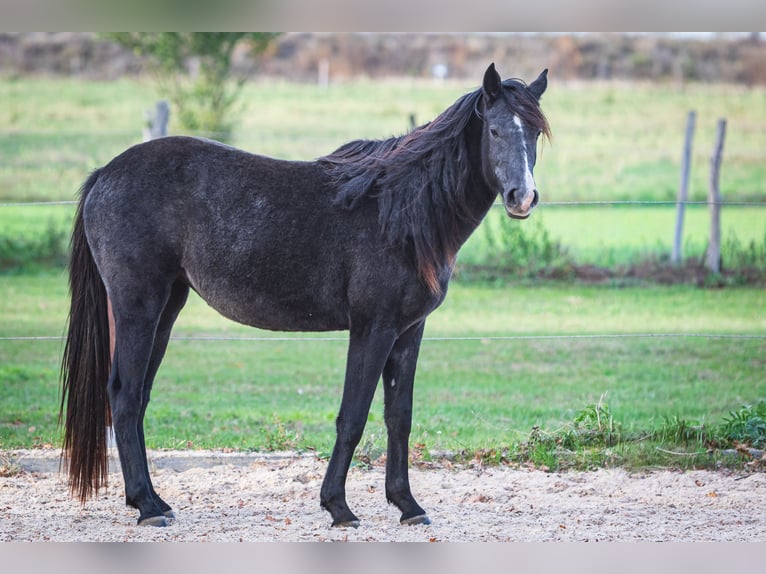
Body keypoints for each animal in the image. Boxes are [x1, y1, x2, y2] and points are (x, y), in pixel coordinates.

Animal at [59, 63, 550, 528]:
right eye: (494, 130)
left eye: (534, 134)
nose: (522, 198)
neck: (398, 212)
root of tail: (105, 174)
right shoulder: (373, 329)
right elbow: (352, 417)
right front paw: (339, 507)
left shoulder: (409, 332)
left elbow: (399, 418)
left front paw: (407, 505)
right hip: (138, 307)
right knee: (124, 396)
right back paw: (147, 507)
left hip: (167, 307)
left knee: (138, 397)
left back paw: (155, 500)